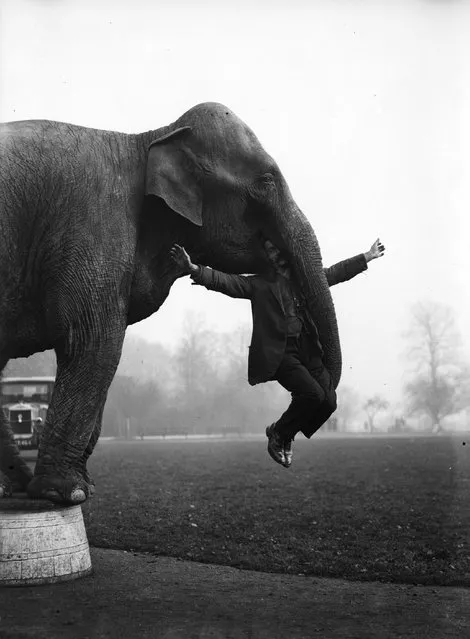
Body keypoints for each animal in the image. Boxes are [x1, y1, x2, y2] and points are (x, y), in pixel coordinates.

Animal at [0, 102, 340, 508]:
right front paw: (67, 493)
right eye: (266, 181)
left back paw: (12, 486)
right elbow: (92, 342)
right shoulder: (93, 225)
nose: (283, 447)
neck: (148, 140)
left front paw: (84, 486)